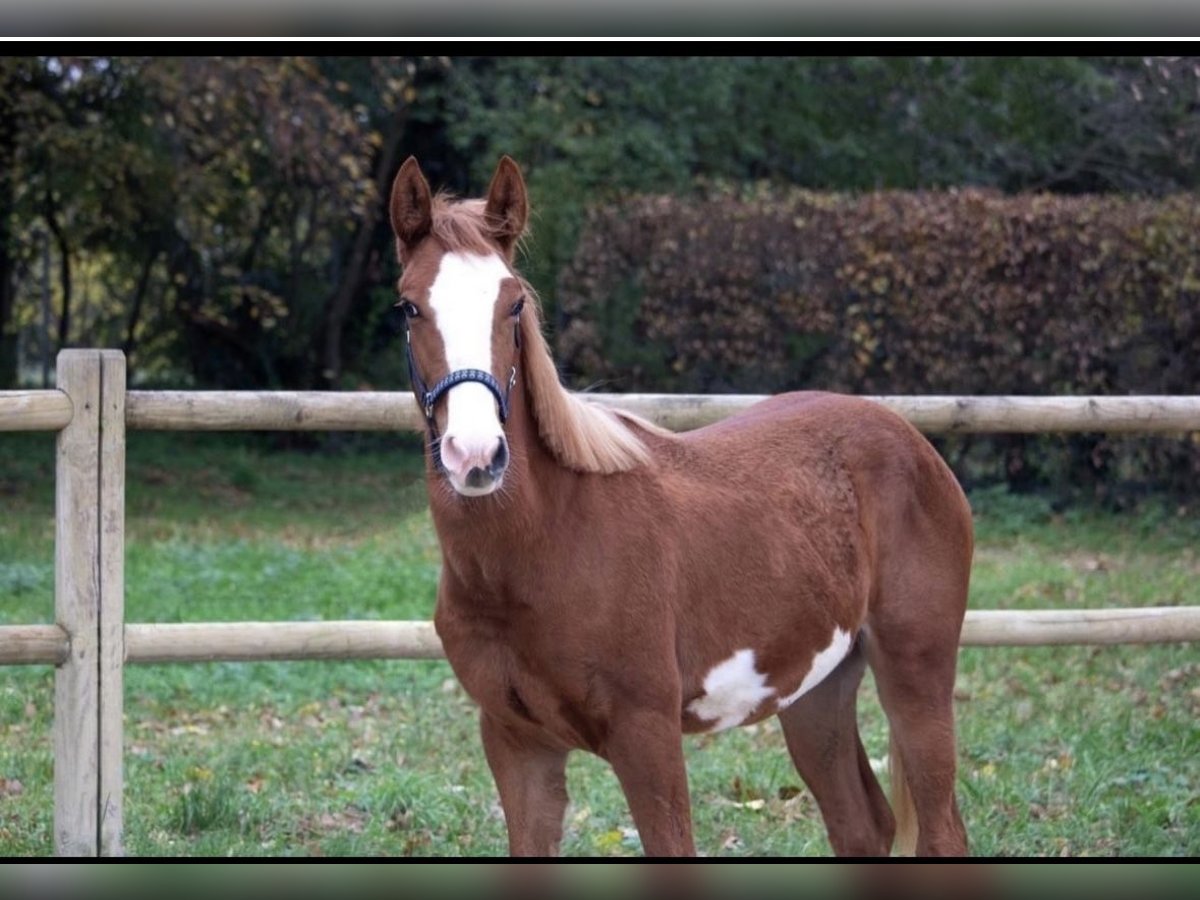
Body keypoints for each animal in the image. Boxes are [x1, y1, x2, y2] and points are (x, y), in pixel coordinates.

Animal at [388, 157, 969, 859]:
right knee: (864, 826)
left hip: (917, 673)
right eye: (409, 306)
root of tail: (912, 441)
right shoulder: (516, 742)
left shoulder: (648, 736)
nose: (476, 455)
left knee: (942, 830)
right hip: (816, 689)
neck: (546, 546)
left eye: (514, 302)